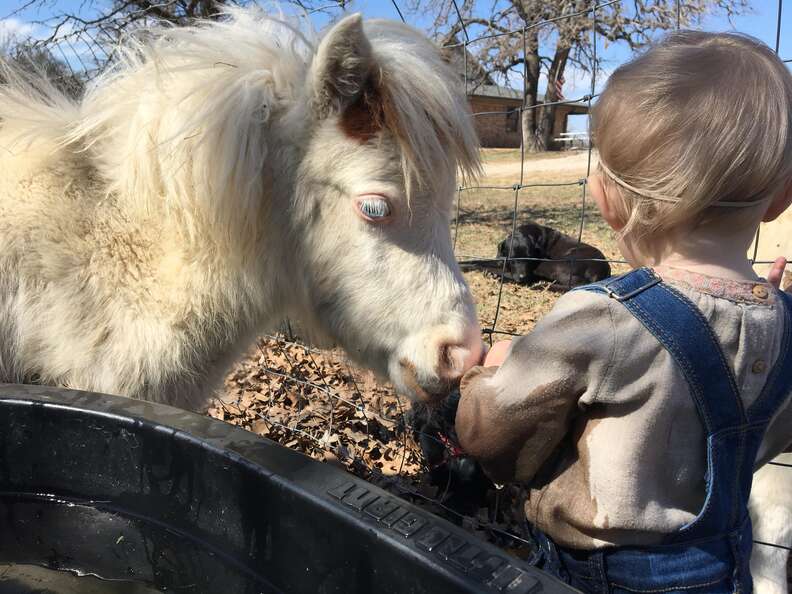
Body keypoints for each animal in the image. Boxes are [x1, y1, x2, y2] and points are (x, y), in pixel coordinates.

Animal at [460, 220, 608, 290]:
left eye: (529, 258)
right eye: (513, 259)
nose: (522, 278)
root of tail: (601, 272)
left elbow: (483, 266)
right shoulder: (502, 260)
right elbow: (479, 261)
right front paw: (462, 265)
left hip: (551, 265)